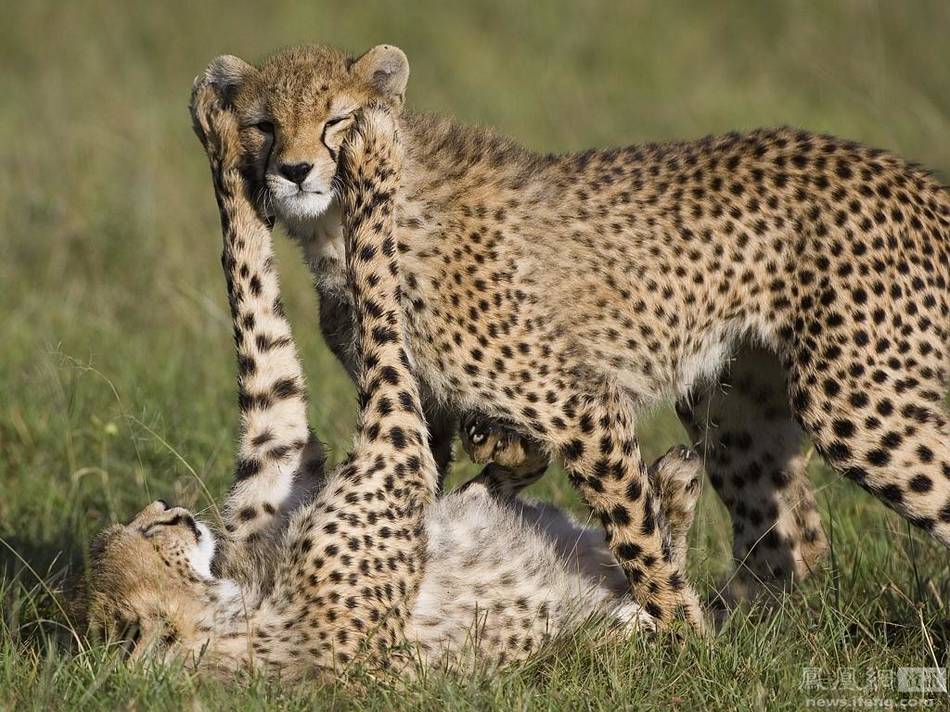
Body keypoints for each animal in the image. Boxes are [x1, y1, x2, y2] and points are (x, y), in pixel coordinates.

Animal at [82, 86, 708, 676]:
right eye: (150, 533)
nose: (172, 509)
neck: (230, 608)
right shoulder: (392, 450)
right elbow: (376, 296)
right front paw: (373, 155)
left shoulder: (280, 456)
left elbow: (258, 326)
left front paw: (221, 141)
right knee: (654, 601)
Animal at [197, 44, 948, 624]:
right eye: (264, 125)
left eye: (337, 119)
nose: (295, 170)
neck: (346, 230)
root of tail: (913, 177)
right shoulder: (428, 408)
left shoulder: (580, 403)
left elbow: (634, 529)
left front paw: (679, 635)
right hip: (733, 402)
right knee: (789, 540)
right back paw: (740, 631)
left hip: (855, 401)